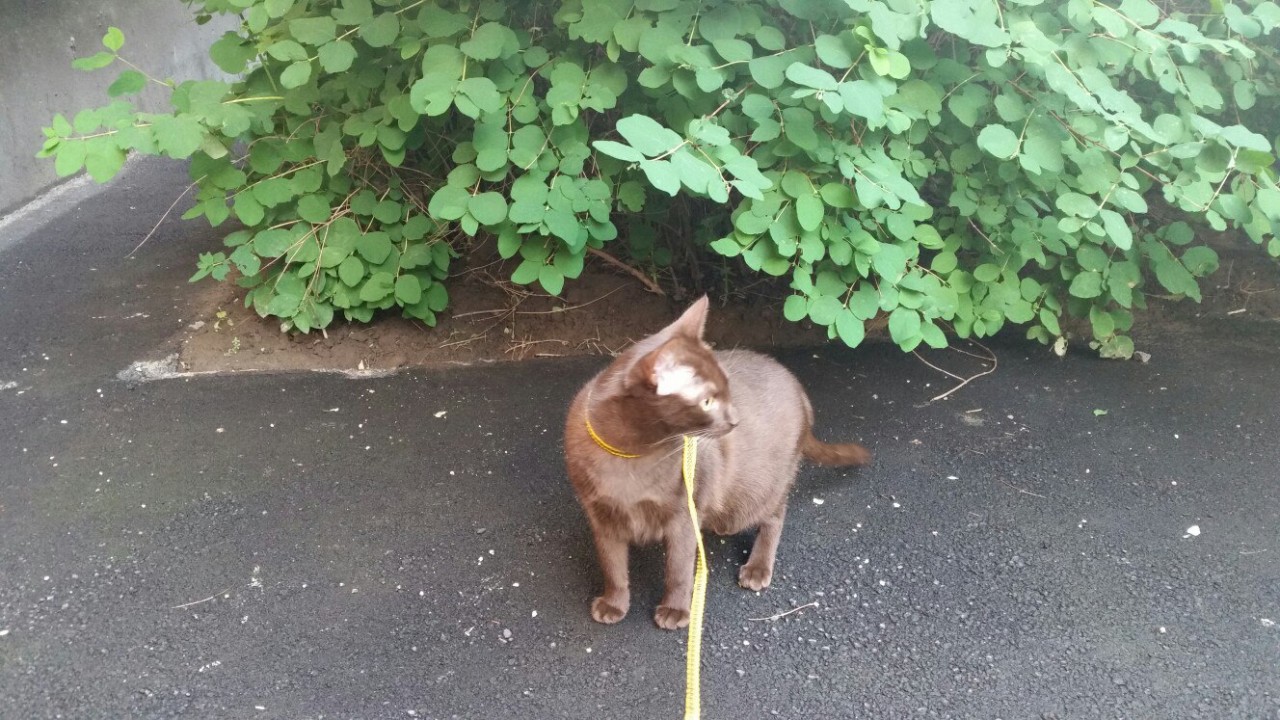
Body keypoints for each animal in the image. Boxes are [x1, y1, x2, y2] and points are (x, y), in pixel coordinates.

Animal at [565, 294, 875, 625]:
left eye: (726, 390)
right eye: (707, 401)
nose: (735, 419)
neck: (630, 455)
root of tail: (798, 389)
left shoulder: (684, 516)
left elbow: (679, 570)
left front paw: (676, 611)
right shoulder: (602, 518)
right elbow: (612, 567)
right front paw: (613, 604)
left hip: (762, 489)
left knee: (775, 516)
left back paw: (757, 568)